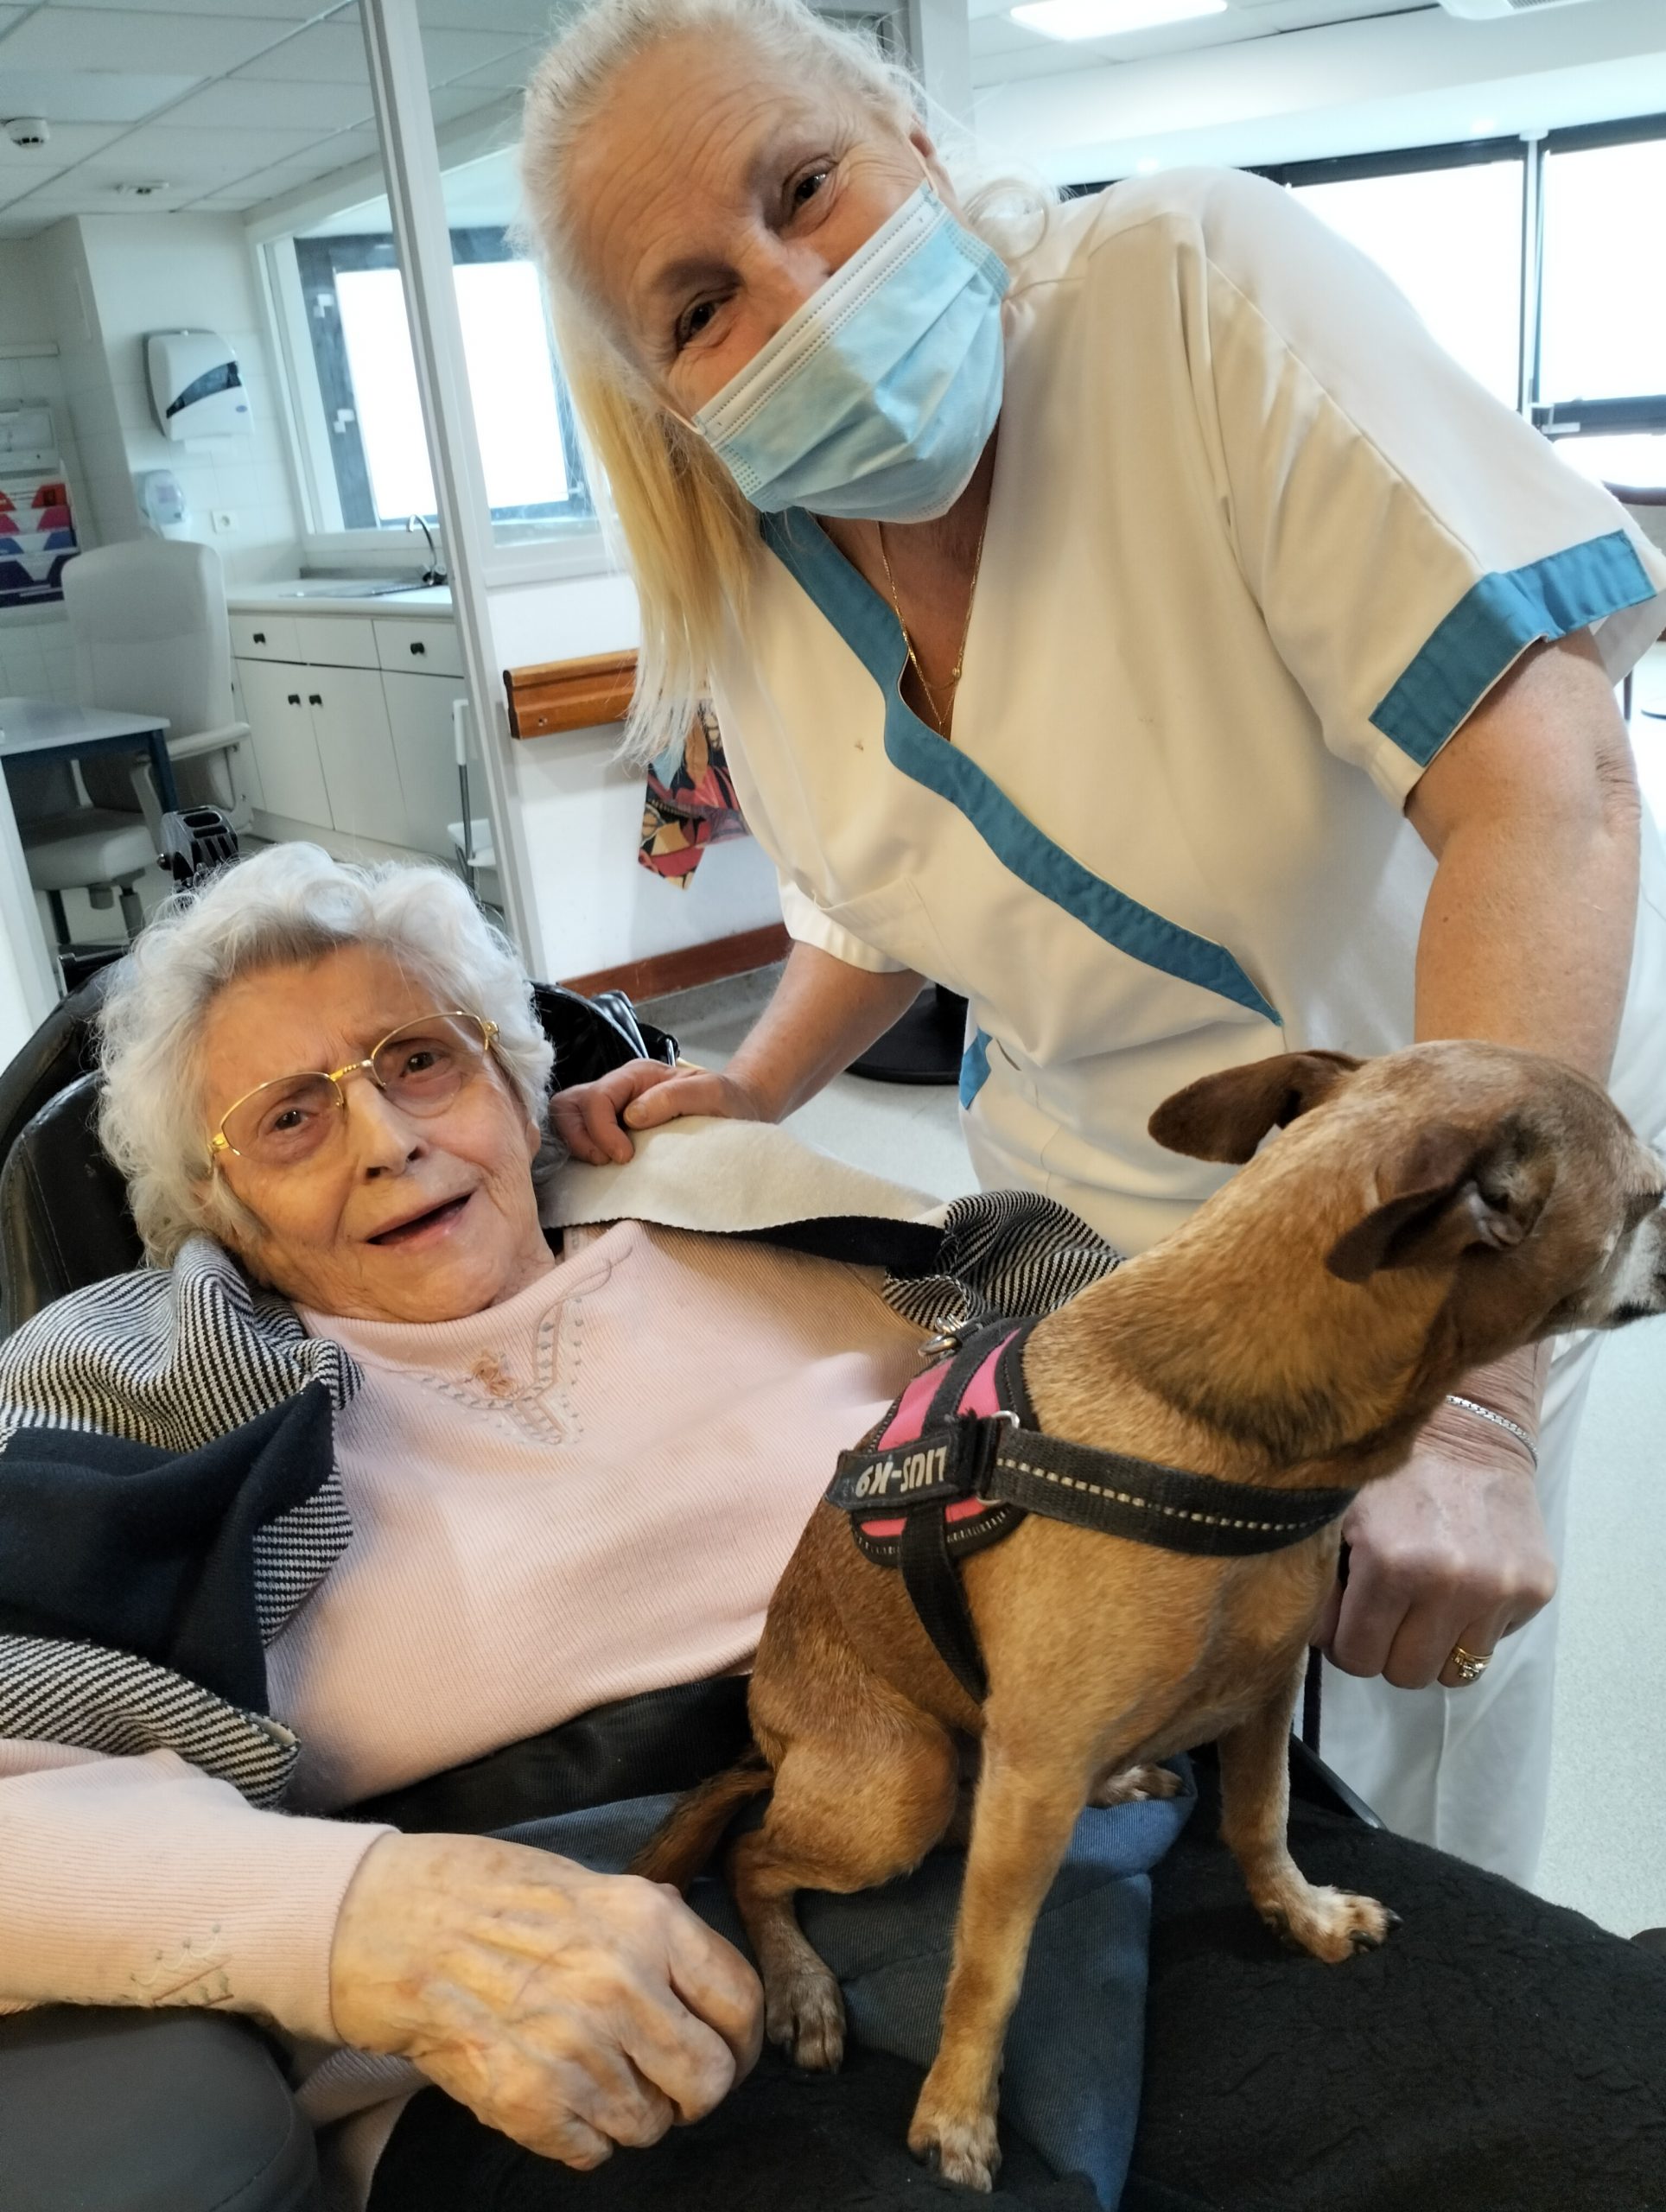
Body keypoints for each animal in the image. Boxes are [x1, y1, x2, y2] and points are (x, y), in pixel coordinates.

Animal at [637, 1044, 1663, 2185]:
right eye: (1648, 1198)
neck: (1211, 1420)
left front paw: (1299, 1912)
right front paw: (956, 2107)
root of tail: (769, 1740)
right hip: (898, 1787)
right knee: (752, 1853)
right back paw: (801, 1985)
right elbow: (988, 1967)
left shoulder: (1261, 1699)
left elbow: (1259, 1822)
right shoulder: (1034, 1776)